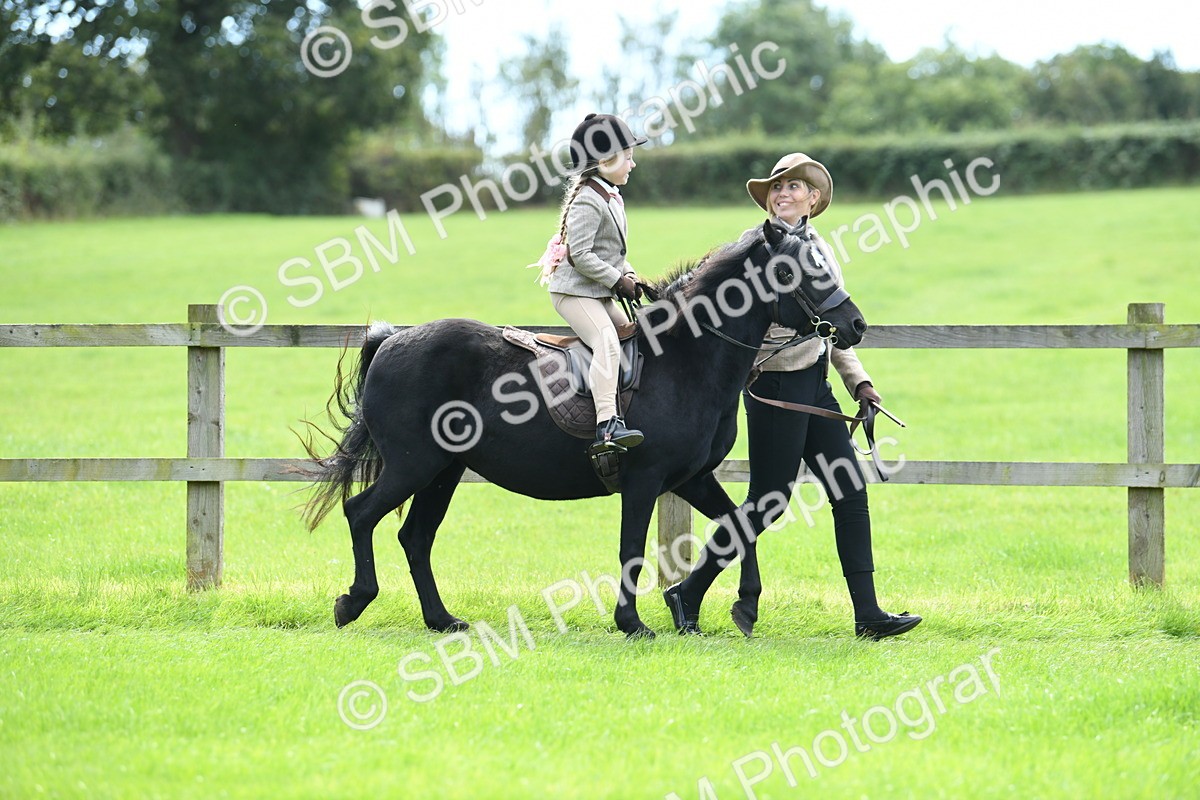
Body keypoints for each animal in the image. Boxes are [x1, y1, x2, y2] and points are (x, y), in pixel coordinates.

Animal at [301, 220, 866, 638]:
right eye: (797, 269)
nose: (855, 325)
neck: (686, 356)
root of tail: (392, 341)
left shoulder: (689, 479)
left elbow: (738, 525)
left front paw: (736, 608)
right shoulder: (645, 479)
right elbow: (632, 548)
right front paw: (632, 623)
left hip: (444, 471)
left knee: (415, 536)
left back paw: (441, 620)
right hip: (414, 465)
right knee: (361, 513)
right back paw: (354, 601)